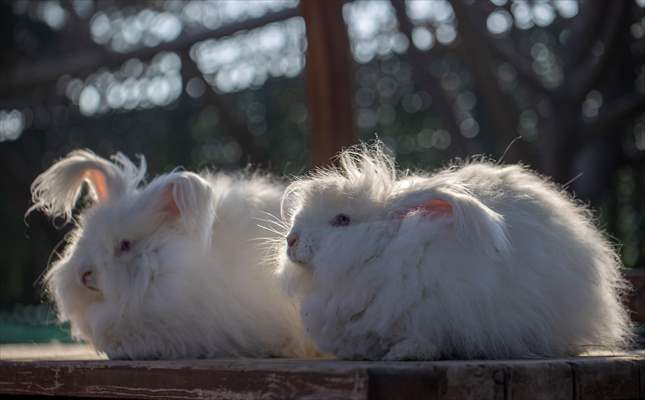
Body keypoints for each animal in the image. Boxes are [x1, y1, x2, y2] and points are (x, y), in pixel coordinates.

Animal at [280, 143, 632, 360]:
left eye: (342, 220)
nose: (291, 240)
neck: (382, 253)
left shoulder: (441, 311)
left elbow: (424, 338)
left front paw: (404, 353)